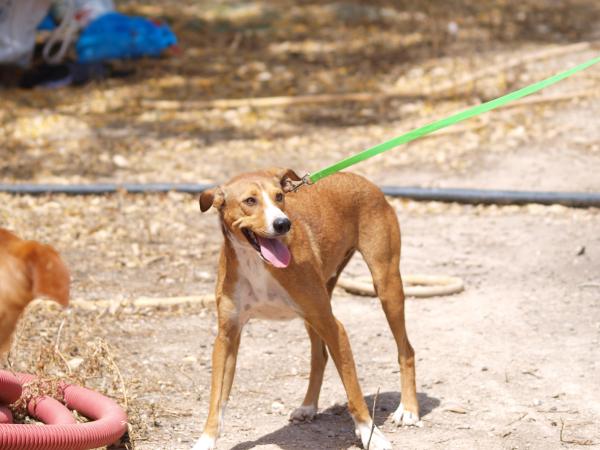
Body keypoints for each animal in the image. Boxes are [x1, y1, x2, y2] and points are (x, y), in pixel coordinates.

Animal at [195, 170, 420, 450]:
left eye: (279, 197)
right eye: (250, 201)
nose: (283, 224)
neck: (257, 264)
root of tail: (359, 177)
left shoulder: (335, 327)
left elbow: (354, 392)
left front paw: (371, 434)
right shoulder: (226, 336)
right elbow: (217, 398)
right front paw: (206, 439)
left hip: (385, 286)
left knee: (406, 350)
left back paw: (409, 409)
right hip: (313, 314)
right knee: (319, 356)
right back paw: (308, 406)